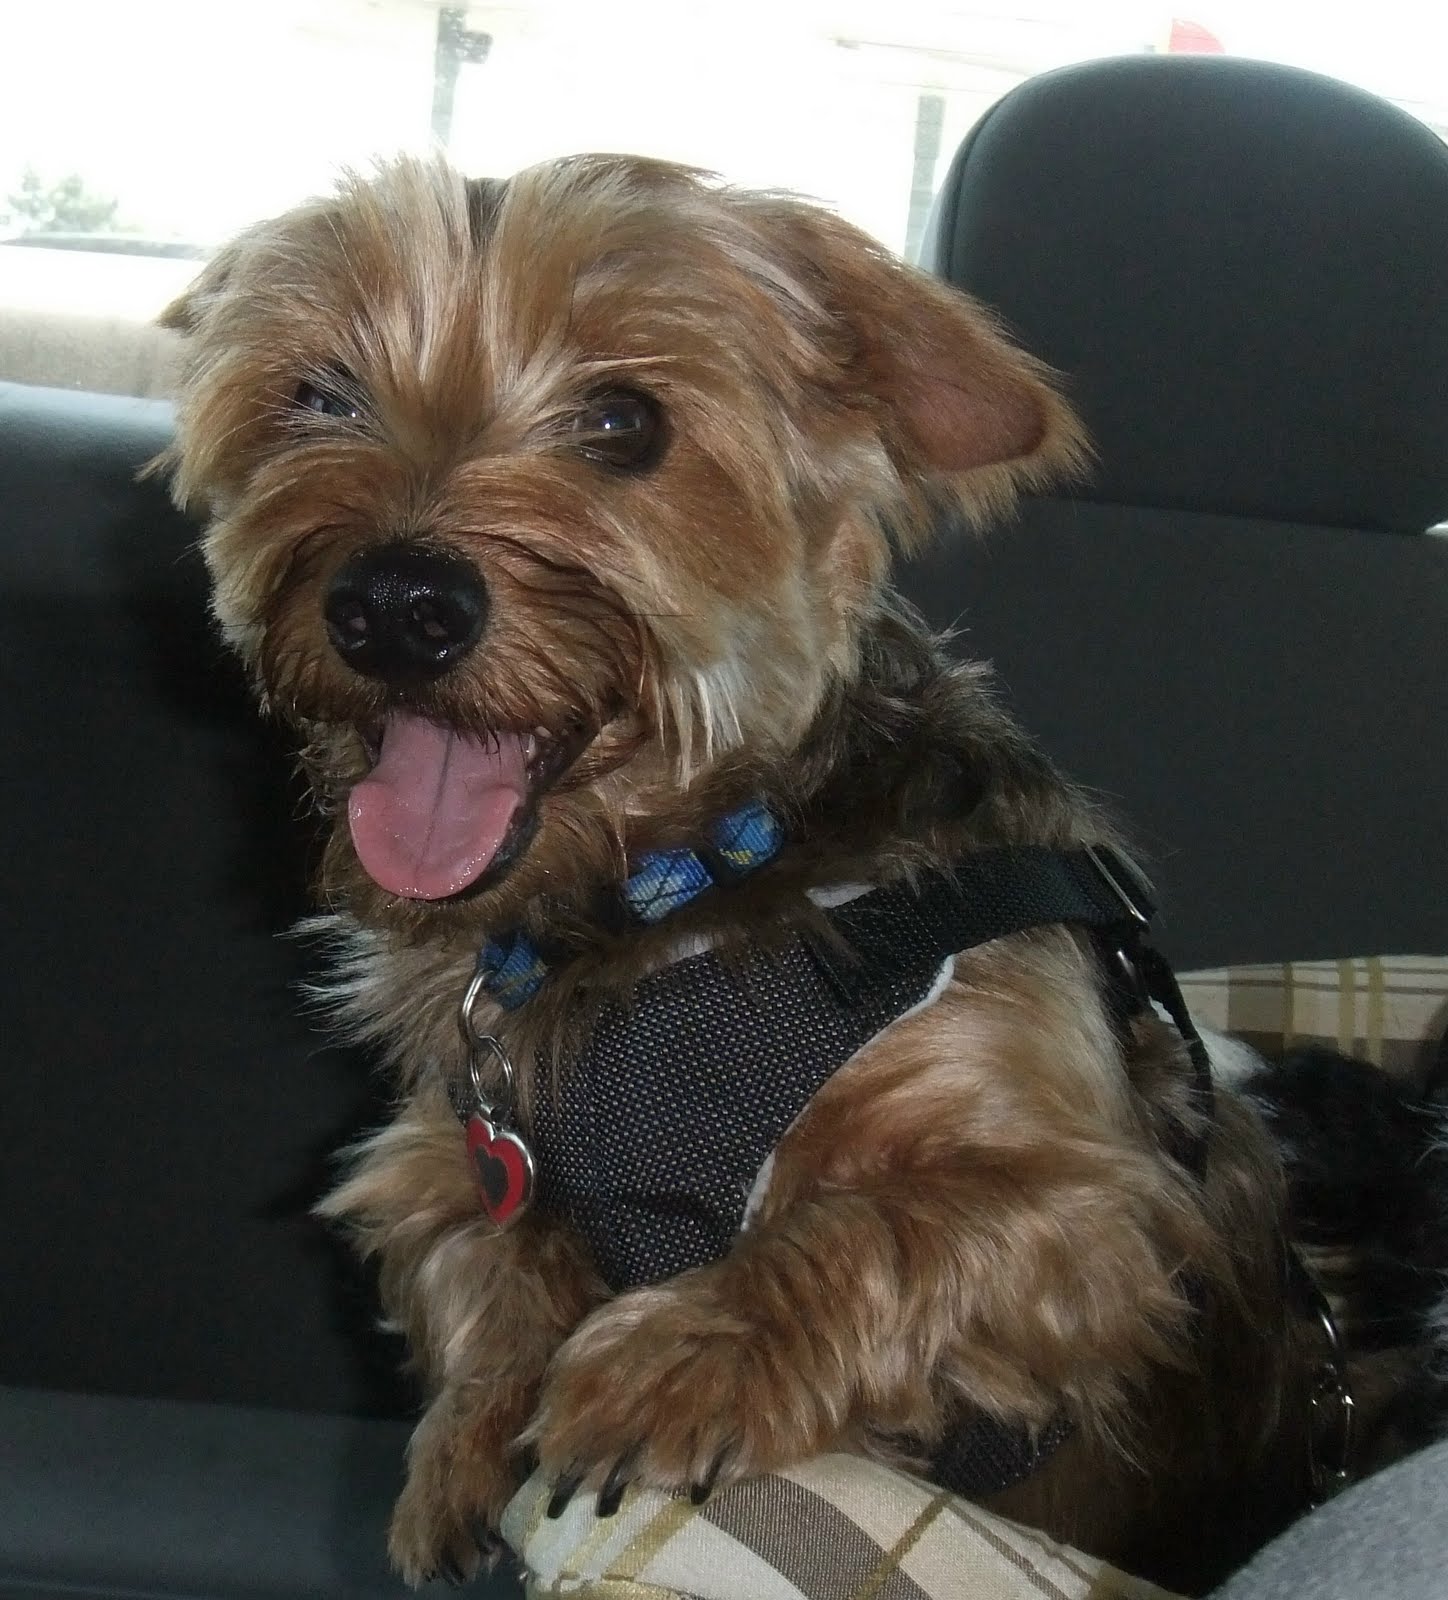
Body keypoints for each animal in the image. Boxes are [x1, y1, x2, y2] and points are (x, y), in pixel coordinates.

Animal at [159, 154, 1383, 1593]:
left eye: (625, 422)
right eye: (318, 395)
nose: (395, 604)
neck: (679, 888)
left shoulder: (1089, 1204)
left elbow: (876, 1226)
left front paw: (680, 1351)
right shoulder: (454, 1145)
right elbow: (480, 1252)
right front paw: (467, 1439)